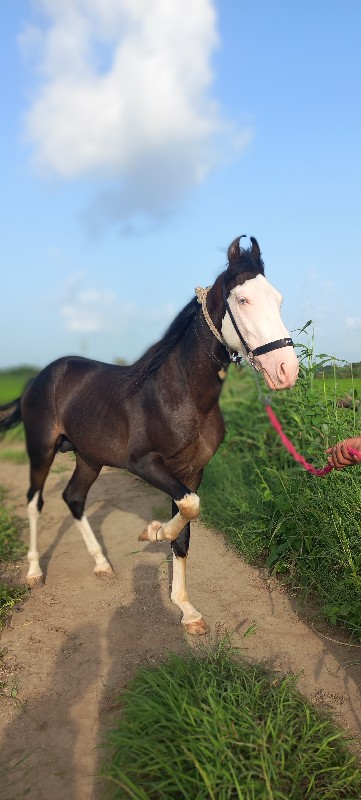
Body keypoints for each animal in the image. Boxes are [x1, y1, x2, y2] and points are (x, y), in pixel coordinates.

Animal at [0, 234, 298, 636]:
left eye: (278, 299)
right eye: (243, 299)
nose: (285, 370)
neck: (180, 394)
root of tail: (40, 378)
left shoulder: (192, 471)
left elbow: (185, 527)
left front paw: (187, 610)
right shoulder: (144, 464)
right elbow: (189, 507)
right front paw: (151, 532)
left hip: (89, 458)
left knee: (74, 498)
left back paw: (101, 564)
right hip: (41, 449)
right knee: (35, 501)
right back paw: (34, 572)